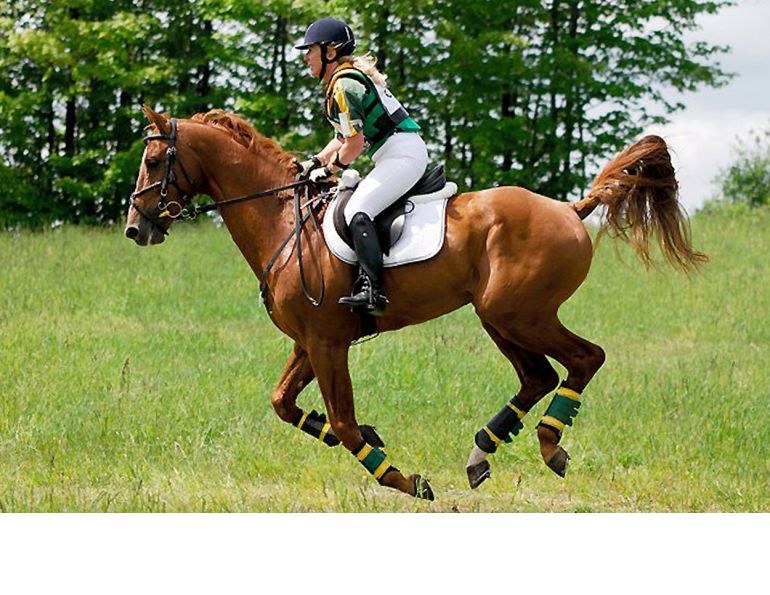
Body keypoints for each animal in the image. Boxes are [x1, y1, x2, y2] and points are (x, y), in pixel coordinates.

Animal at [125, 105, 707, 500]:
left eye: (153, 160)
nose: (136, 229)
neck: (285, 222)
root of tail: (570, 208)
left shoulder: (327, 342)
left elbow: (342, 422)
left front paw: (404, 479)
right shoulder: (309, 341)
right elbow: (284, 403)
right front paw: (368, 437)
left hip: (520, 314)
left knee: (584, 358)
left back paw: (548, 443)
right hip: (498, 317)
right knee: (538, 375)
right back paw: (481, 453)